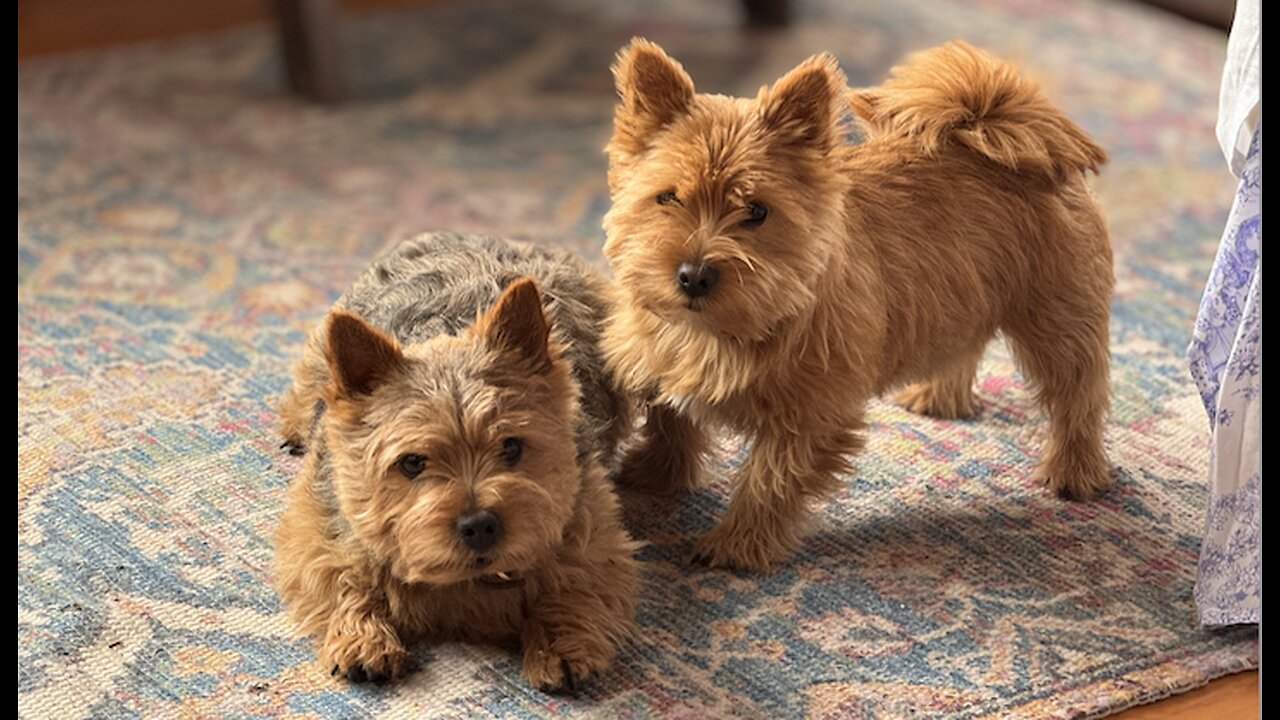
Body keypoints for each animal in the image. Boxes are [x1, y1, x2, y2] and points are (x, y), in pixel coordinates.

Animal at [277, 233, 640, 686]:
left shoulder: (594, 525)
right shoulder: (317, 523)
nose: (480, 524)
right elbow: (341, 570)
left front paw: (560, 645)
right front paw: (363, 637)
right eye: (412, 463)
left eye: (511, 447)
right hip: (321, 358)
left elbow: (573, 580)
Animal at [599, 39, 1111, 568]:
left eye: (757, 211)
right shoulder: (658, 367)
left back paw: (1074, 471)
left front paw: (736, 545)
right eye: (667, 198)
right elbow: (671, 423)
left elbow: (769, 480)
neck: (722, 330)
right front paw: (653, 476)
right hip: (962, 296)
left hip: (1058, 320)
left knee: (1079, 395)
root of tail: (1017, 128)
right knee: (965, 347)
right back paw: (937, 399)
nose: (694, 276)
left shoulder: (811, 414)